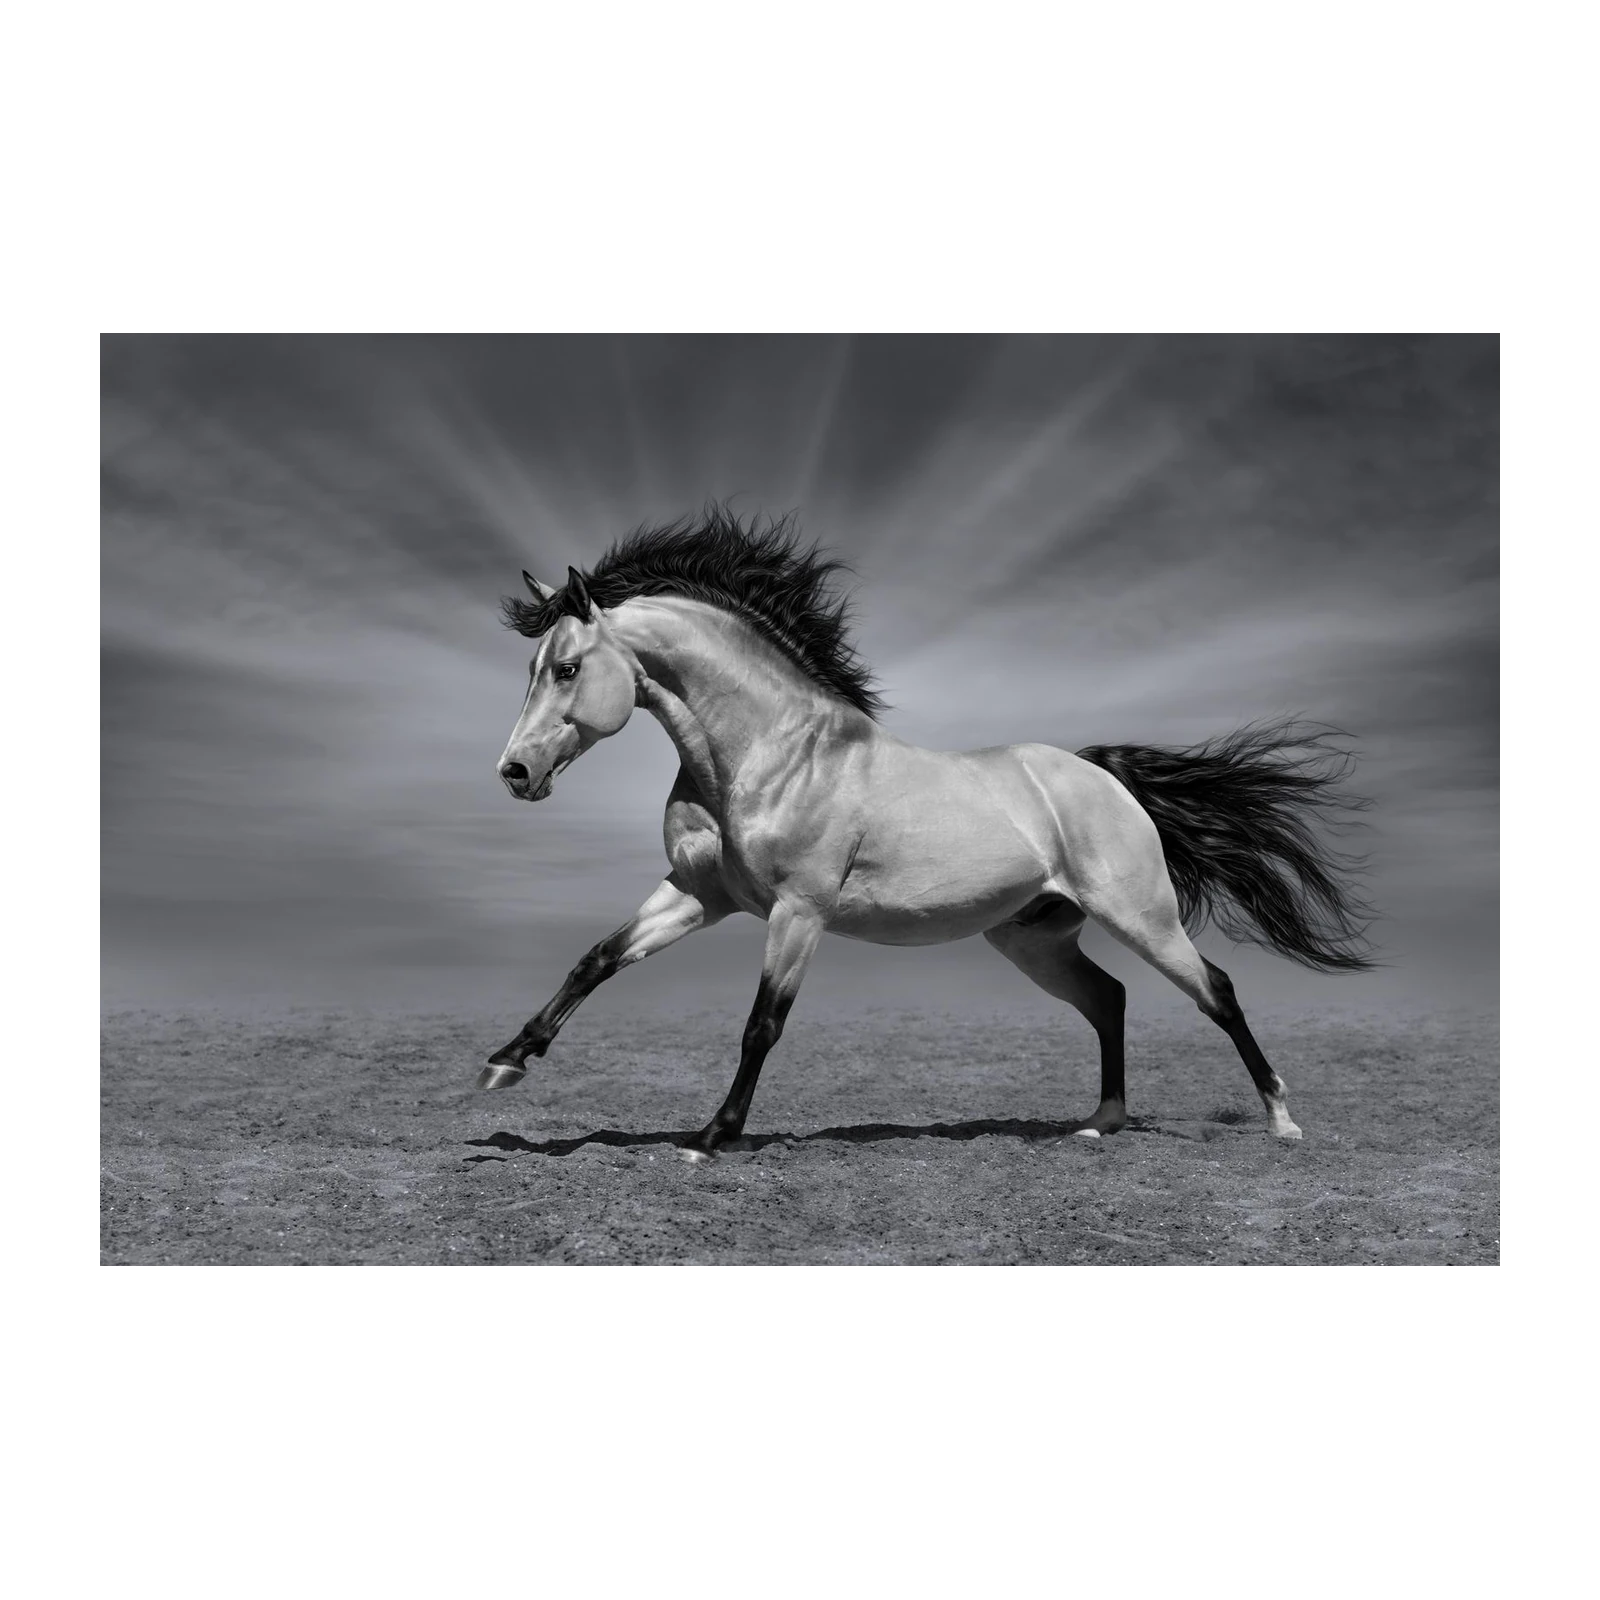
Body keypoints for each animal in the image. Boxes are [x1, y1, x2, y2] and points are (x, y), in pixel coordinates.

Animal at [479, 509, 1375, 1162]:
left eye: (566, 669)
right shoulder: (700, 895)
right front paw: (506, 1062)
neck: (771, 754)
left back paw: (1282, 1121)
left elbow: (762, 1023)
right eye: (533, 668)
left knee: (1215, 990)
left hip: (1140, 916)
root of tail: (1101, 775)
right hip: (1032, 938)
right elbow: (597, 959)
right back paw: (1099, 1123)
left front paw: (711, 1137)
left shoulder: (797, 912)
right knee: (1109, 998)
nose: (515, 773)